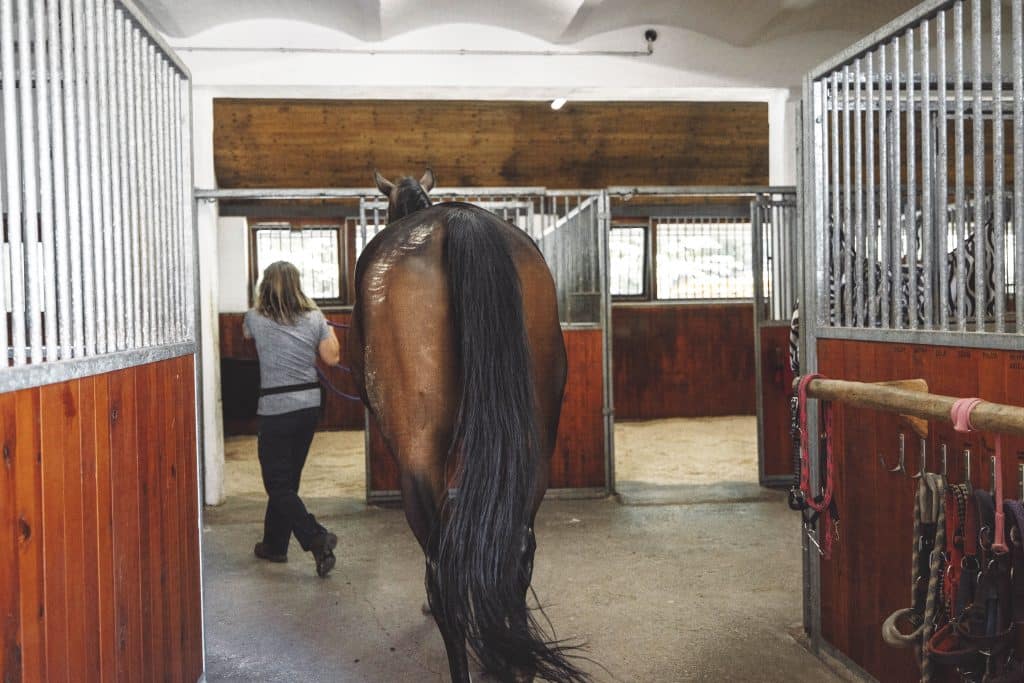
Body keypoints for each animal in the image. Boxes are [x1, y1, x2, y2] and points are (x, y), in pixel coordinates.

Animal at [347, 169, 588, 682]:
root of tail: (458, 223)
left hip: (418, 458)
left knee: (442, 572)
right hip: (531, 452)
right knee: (517, 552)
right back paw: (516, 662)